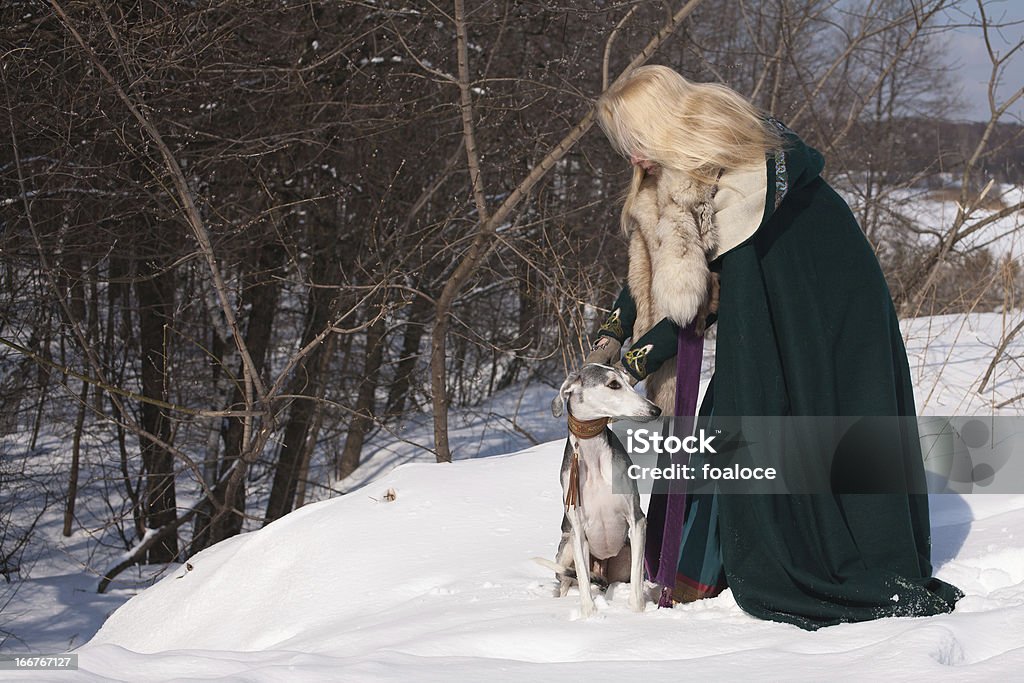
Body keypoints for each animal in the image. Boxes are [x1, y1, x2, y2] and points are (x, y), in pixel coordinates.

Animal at [548, 362, 659, 618]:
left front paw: (638, 613)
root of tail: (603, 572)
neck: (593, 455)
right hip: (566, 547)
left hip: (624, 554)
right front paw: (590, 617)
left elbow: (637, 586)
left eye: (628, 381)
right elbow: (583, 584)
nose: (655, 410)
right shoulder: (578, 531)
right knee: (567, 581)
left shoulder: (637, 520)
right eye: (613, 384)